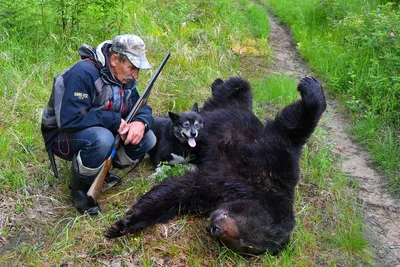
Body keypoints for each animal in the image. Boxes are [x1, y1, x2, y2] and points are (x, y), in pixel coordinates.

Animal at [104, 76, 326, 256]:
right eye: (247, 233)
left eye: (245, 245)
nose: (214, 229)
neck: (255, 190)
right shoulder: (274, 160)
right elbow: (292, 127)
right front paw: (311, 89)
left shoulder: (216, 192)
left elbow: (182, 192)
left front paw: (125, 224)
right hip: (230, 103)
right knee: (236, 86)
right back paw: (219, 83)